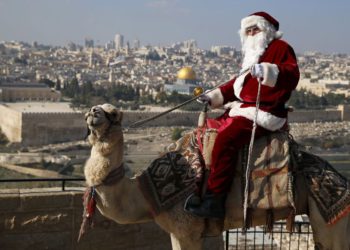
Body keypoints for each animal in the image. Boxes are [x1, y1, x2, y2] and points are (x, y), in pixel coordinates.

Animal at [82, 102, 350, 249]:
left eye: (114, 114)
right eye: (93, 109)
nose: (93, 112)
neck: (148, 194)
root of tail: (342, 180)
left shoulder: (187, 228)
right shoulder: (188, 231)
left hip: (331, 219)